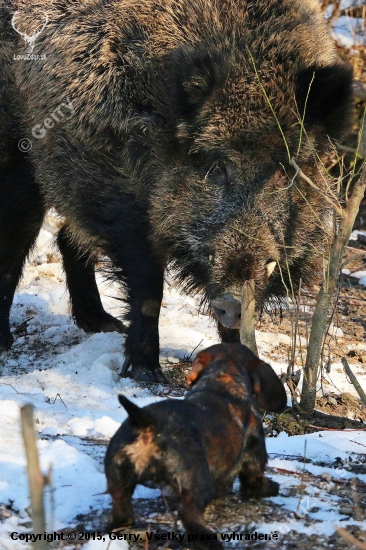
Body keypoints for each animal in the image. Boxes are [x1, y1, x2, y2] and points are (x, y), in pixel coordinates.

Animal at [104, 344, 288, 548]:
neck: (221, 382)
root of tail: (147, 424)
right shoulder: (253, 467)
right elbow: (257, 484)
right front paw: (272, 487)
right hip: (196, 486)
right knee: (190, 518)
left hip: (118, 485)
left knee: (120, 515)